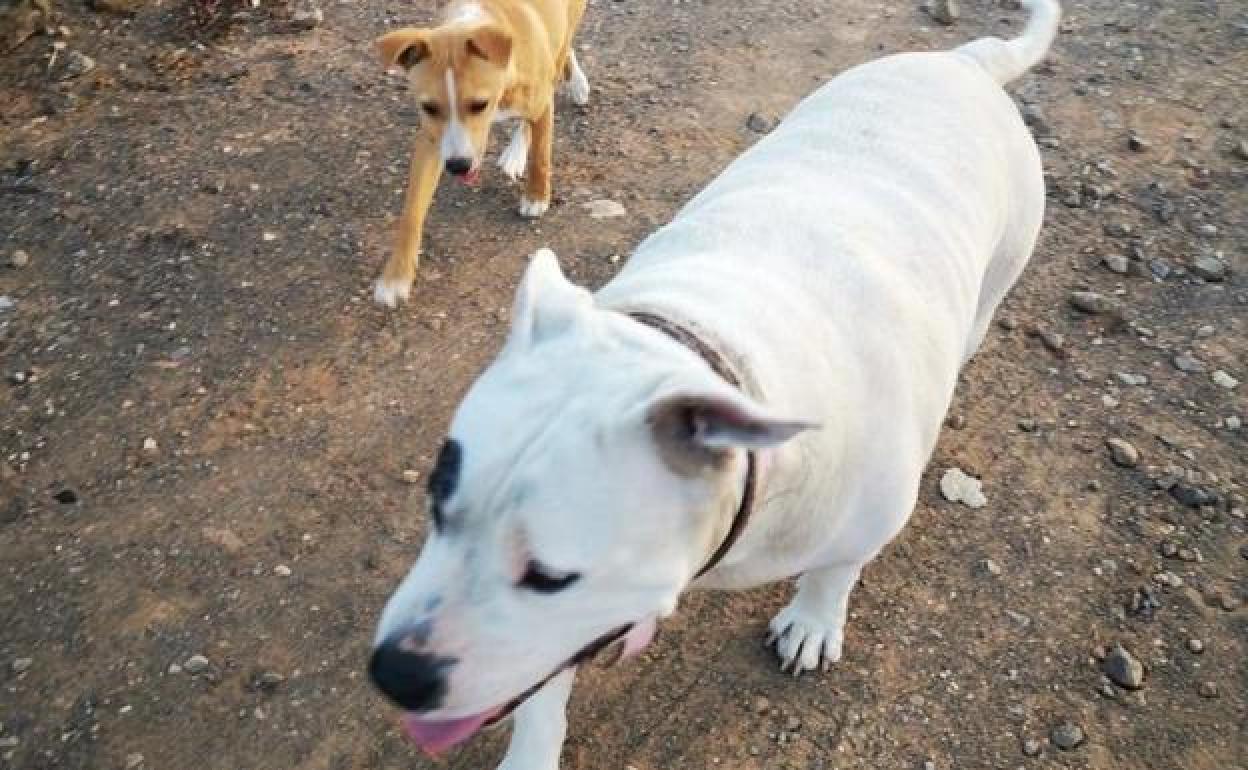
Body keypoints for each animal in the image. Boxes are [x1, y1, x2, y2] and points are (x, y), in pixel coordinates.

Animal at [372, 0, 590, 307]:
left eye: (479, 105)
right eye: (429, 107)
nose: (458, 166)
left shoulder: (542, 104)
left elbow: (541, 154)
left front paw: (536, 196)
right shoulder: (431, 141)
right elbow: (412, 212)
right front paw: (396, 276)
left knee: (562, 55)